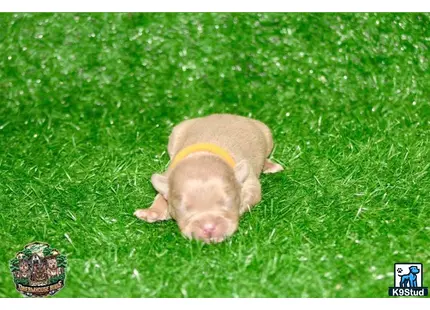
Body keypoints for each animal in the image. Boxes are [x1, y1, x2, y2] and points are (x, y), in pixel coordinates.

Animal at [134, 114, 282, 242]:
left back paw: (269, 165)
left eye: (228, 202)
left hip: (266, 133)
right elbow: (160, 195)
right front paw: (152, 212)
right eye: (184, 208)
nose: (209, 227)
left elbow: (252, 192)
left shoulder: (249, 180)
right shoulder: (168, 175)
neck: (202, 155)